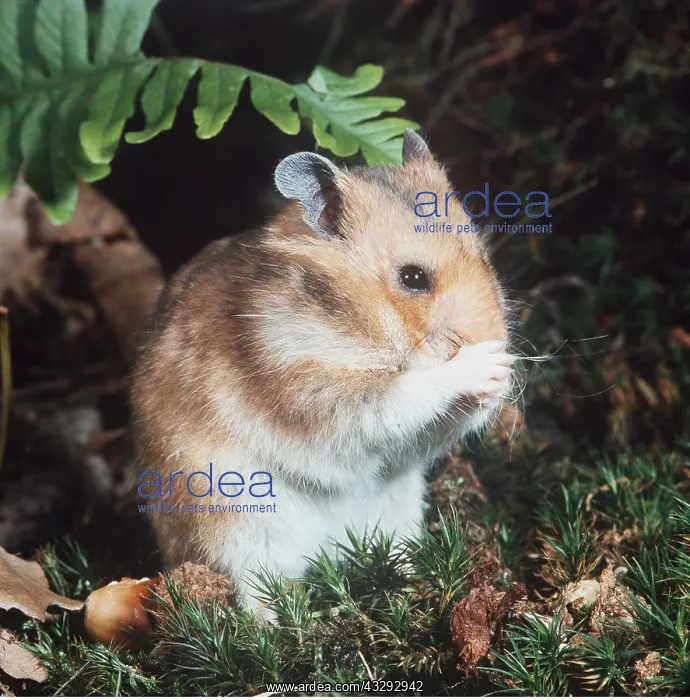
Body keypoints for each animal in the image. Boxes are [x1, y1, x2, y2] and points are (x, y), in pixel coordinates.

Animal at [132, 130, 514, 618]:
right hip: (236, 522)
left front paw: (502, 375)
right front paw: (486, 364)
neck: (357, 320)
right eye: (413, 278)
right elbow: (398, 396)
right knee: (252, 589)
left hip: (399, 508)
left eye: (483, 257)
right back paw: (278, 625)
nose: (496, 340)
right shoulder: (305, 384)